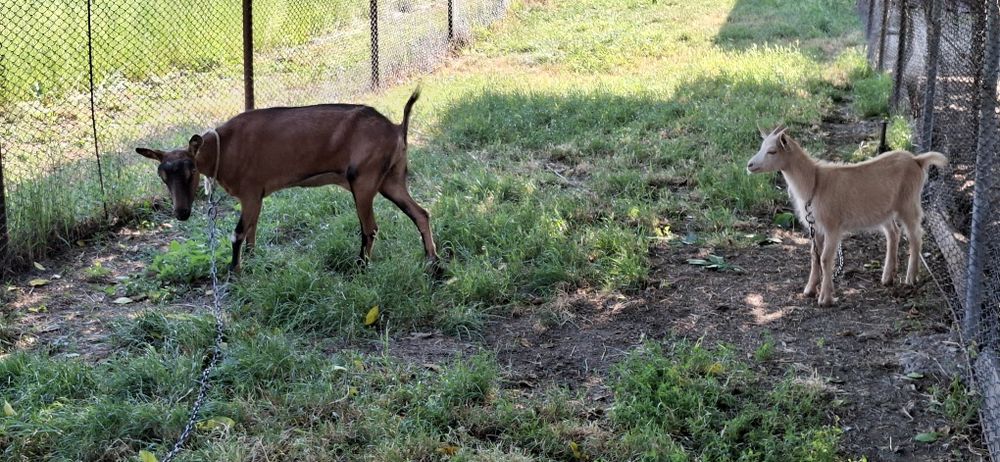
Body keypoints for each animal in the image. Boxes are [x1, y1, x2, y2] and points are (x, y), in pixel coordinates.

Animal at [135, 89, 438, 273]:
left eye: (191, 171)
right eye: (162, 176)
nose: (182, 213)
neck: (226, 146)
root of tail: (397, 128)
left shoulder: (250, 191)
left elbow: (238, 233)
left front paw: (234, 271)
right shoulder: (256, 196)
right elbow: (252, 231)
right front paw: (253, 260)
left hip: (363, 177)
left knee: (370, 228)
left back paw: (360, 266)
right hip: (391, 178)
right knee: (420, 213)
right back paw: (433, 263)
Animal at [746, 126, 946, 306]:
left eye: (772, 151)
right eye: (761, 147)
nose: (749, 165)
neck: (815, 182)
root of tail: (917, 160)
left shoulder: (833, 226)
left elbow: (825, 258)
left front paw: (825, 298)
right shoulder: (816, 227)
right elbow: (814, 256)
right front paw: (810, 290)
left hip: (908, 203)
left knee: (915, 236)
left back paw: (911, 278)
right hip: (885, 210)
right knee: (893, 233)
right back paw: (887, 277)